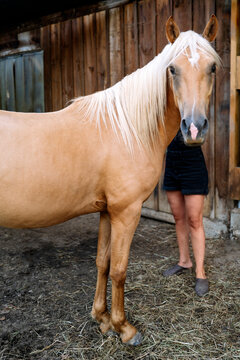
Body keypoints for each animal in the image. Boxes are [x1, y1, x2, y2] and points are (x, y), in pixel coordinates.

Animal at [0, 16, 219, 344]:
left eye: (212, 67)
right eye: (172, 69)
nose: (194, 129)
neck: (126, 129)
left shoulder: (106, 210)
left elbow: (102, 263)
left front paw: (101, 318)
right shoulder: (126, 212)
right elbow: (119, 269)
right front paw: (124, 328)